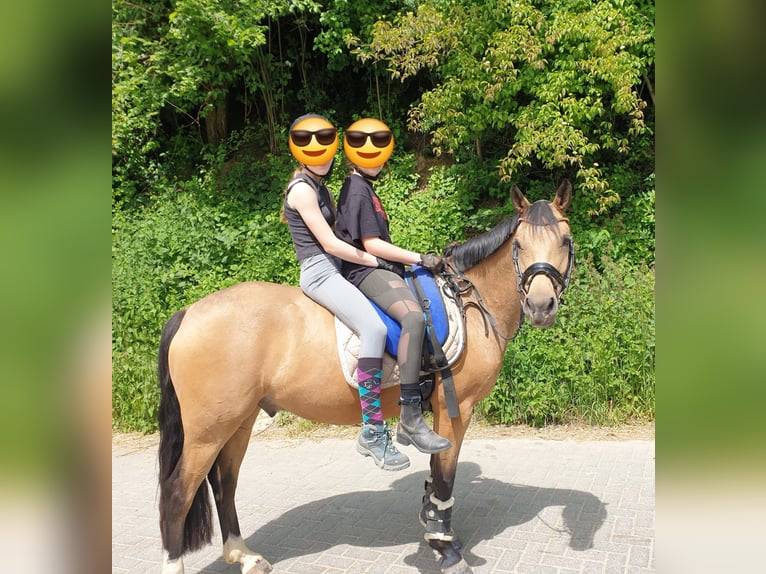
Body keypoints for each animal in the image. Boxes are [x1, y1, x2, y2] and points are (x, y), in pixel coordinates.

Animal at [158, 180, 576, 574]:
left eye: (565, 241)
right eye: (519, 244)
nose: (541, 306)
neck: (469, 305)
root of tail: (188, 313)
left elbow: (434, 477)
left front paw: (433, 525)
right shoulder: (455, 409)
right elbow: (445, 477)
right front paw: (445, 548)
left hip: (239, 420)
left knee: (224, 482)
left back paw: (245, 556)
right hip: (208, 429)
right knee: (178, 493)